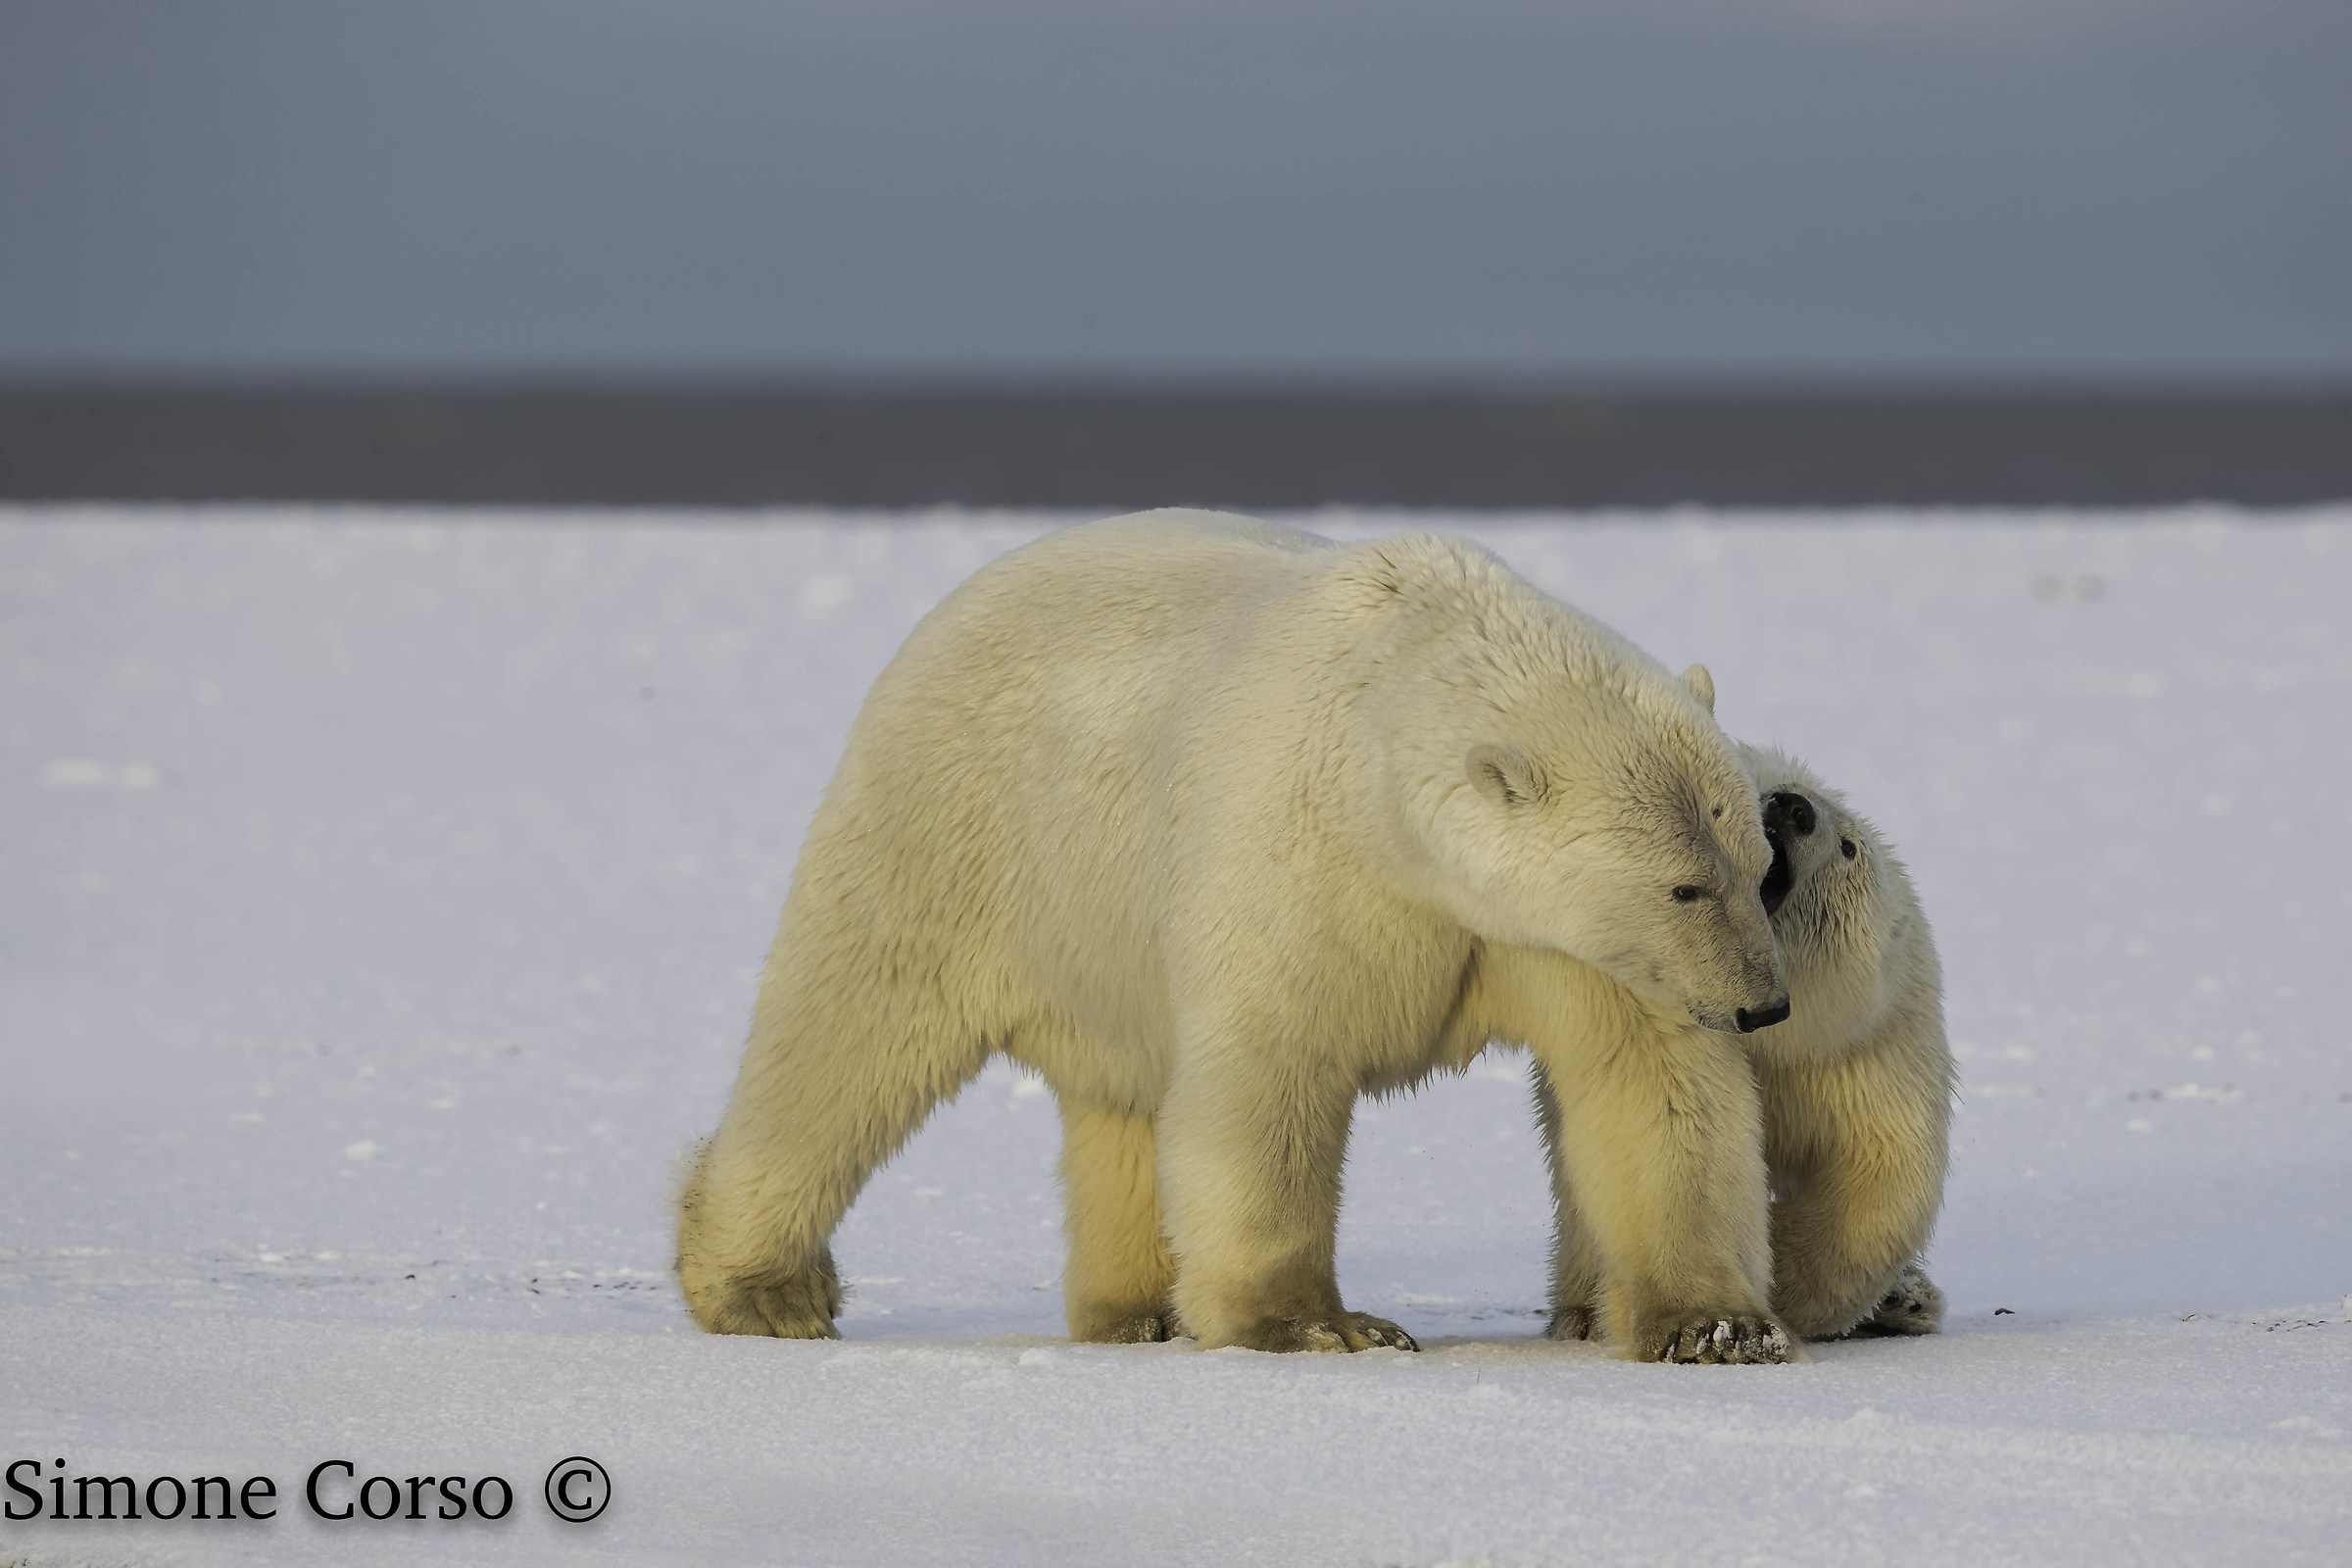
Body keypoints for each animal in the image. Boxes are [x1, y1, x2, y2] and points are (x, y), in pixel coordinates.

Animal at [675, 508, 1792, 1357]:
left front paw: (1716, 1324)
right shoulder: (1302, 861)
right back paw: (762, 1288)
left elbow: (1648, 1084)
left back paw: (1135, 1310)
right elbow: (1271, 1075)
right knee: (847, 1034)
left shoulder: (1558, 941)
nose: (1764, 1002)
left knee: (1121, 1102)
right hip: (958, 834)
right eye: (1685, 886)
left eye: (1759, 868)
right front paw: (1320, 1327)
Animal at [1536, 740, 1952, 1356]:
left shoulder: (1866, 1045)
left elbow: (1882, 1169)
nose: (1792, 807)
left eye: (1849, 847)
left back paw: (1909, 1299)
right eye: (1752, 795)